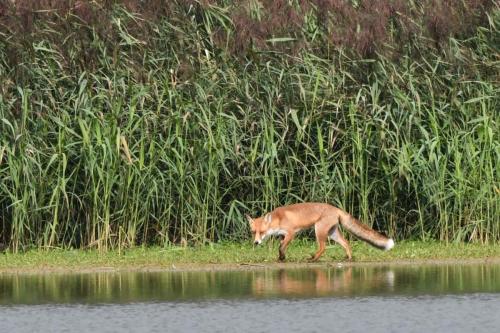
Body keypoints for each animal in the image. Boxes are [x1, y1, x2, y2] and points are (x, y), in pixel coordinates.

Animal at [246, 201, 394, 260]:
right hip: (333, 233)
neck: (278, 218)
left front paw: (282, 258)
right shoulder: (283, 235)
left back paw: (313, 259)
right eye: (253, 232)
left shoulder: (291, 233)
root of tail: (336, 208)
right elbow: (281, 247)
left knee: (323, 247)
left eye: (262, 232)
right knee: (346, 243)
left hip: (319, 231)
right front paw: (281, 258)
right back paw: (349, 258)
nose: (256, 243)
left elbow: (281, 246)